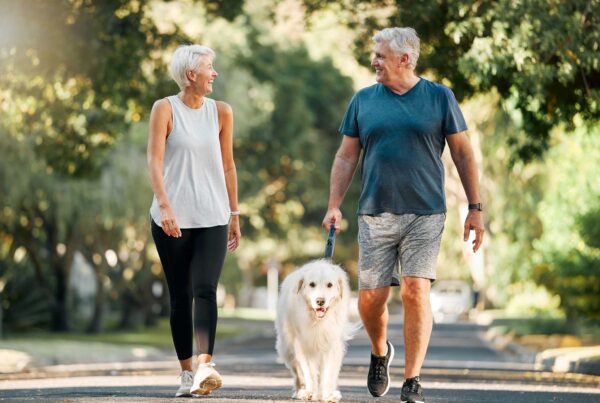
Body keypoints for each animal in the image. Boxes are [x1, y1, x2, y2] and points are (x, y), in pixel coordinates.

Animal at [276, 260, 356, 402]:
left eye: (329, 285)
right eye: (312, 284)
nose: (320, 301)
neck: (317, 321)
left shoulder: (331, 345)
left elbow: (327, 373)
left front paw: (327, 395)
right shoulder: (303, 346)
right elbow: (309, 372)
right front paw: (310, 392)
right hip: (287, 349)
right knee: (298, 373)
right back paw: (301, 391)